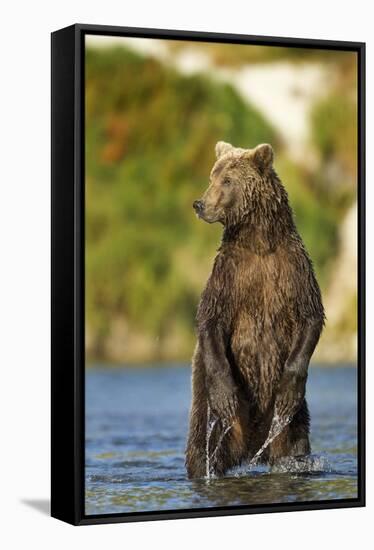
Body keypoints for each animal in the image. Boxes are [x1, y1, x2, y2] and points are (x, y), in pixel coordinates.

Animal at [185, 141, 324, 478]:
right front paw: (226, 396)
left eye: (226, 180)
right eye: (212, 175)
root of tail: (249, 451)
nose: (199, 204)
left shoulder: (293, 268)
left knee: (294, 443)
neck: (259, 241)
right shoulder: (229, 274)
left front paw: (289, 391)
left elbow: (310, 315)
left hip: (290, 425)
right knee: (202, 448)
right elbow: (210, 318)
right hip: (209, 409)